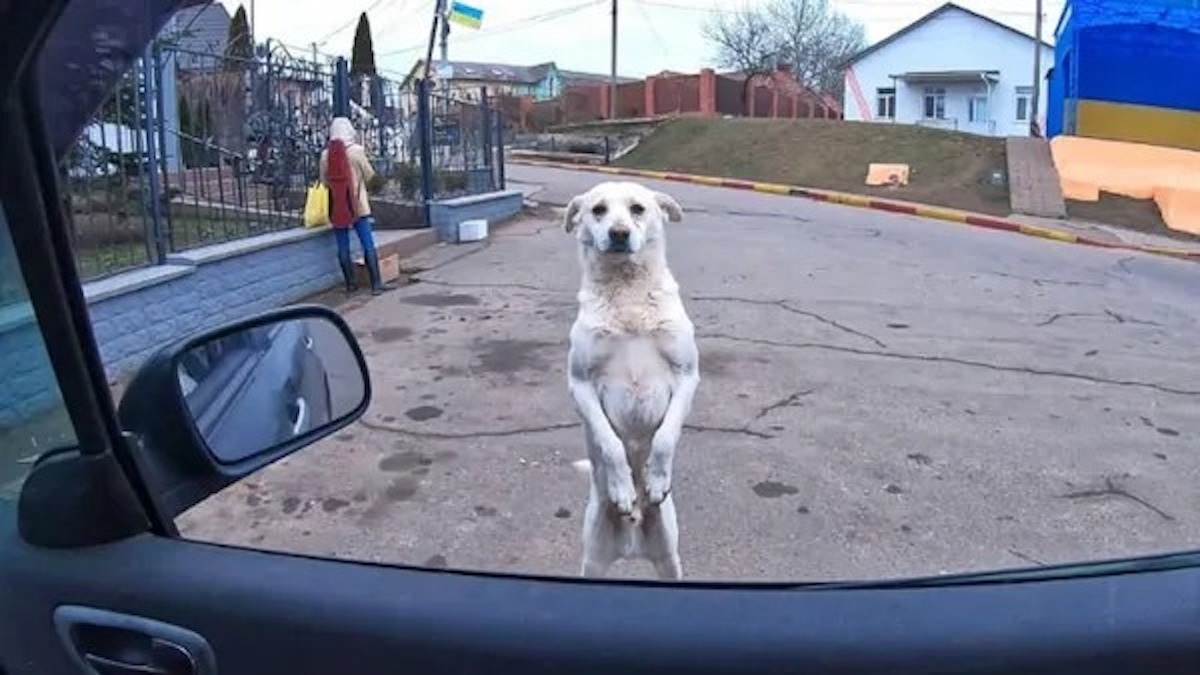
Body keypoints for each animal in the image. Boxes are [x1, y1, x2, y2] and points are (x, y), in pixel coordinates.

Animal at [564, 180, 700, 578]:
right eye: (598, 210)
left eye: (638, 208)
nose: (619, 234)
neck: (628, 295)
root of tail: (632, 542)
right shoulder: (579, 383)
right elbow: (610, 444)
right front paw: (623, 488)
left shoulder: (688, 376)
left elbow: (666, 437)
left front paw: (654, 480)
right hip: (592, 559)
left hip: (670, 557)